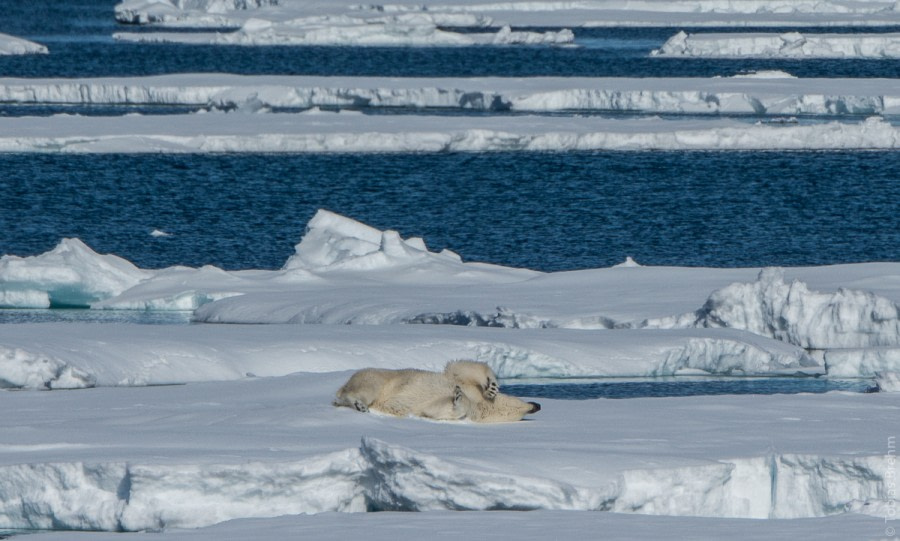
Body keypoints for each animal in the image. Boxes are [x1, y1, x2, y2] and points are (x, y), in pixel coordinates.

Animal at [332, 360, 536, 424]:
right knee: (368, 386)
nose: (537, 404)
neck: (482, 406)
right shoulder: (466, 385)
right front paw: (492, 386)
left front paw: (457, 398)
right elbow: (461, 368)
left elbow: (436, 410)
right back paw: (359, 403)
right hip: (378, 376)